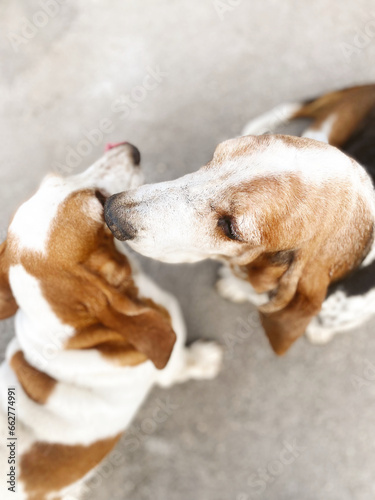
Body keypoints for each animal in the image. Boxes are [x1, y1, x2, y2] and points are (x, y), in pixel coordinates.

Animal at [0, 143, 223, 500]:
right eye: (97, 200)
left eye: (54, 178)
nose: (130, 149)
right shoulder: (171, 366)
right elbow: (186, 364)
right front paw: (205, 359)